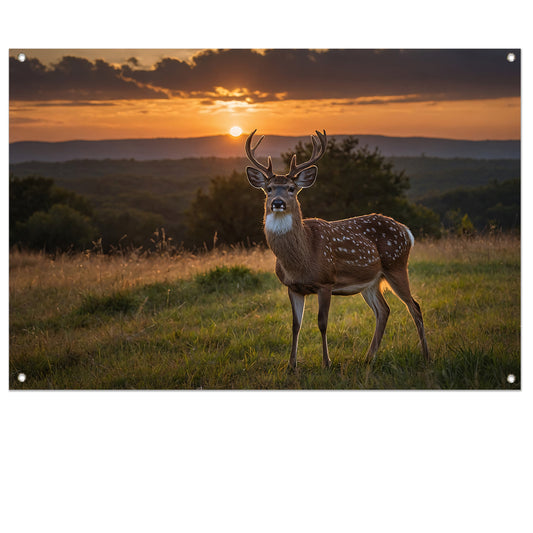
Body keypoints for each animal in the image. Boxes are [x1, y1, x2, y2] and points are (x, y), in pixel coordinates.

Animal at [245, 129, 428, 370]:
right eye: (268, 189)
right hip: (372, 281)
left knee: (414, 306)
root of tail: (406, 231)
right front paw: (291, 366)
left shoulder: (325, 282)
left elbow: (322, 323)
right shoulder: (292, 287)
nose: (277, 202)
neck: (300, 260)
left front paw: (326, 362)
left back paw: (426, 356)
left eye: (292, 189)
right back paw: (368, 357)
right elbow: (295, 325)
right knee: (383, 310)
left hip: (397, 264)